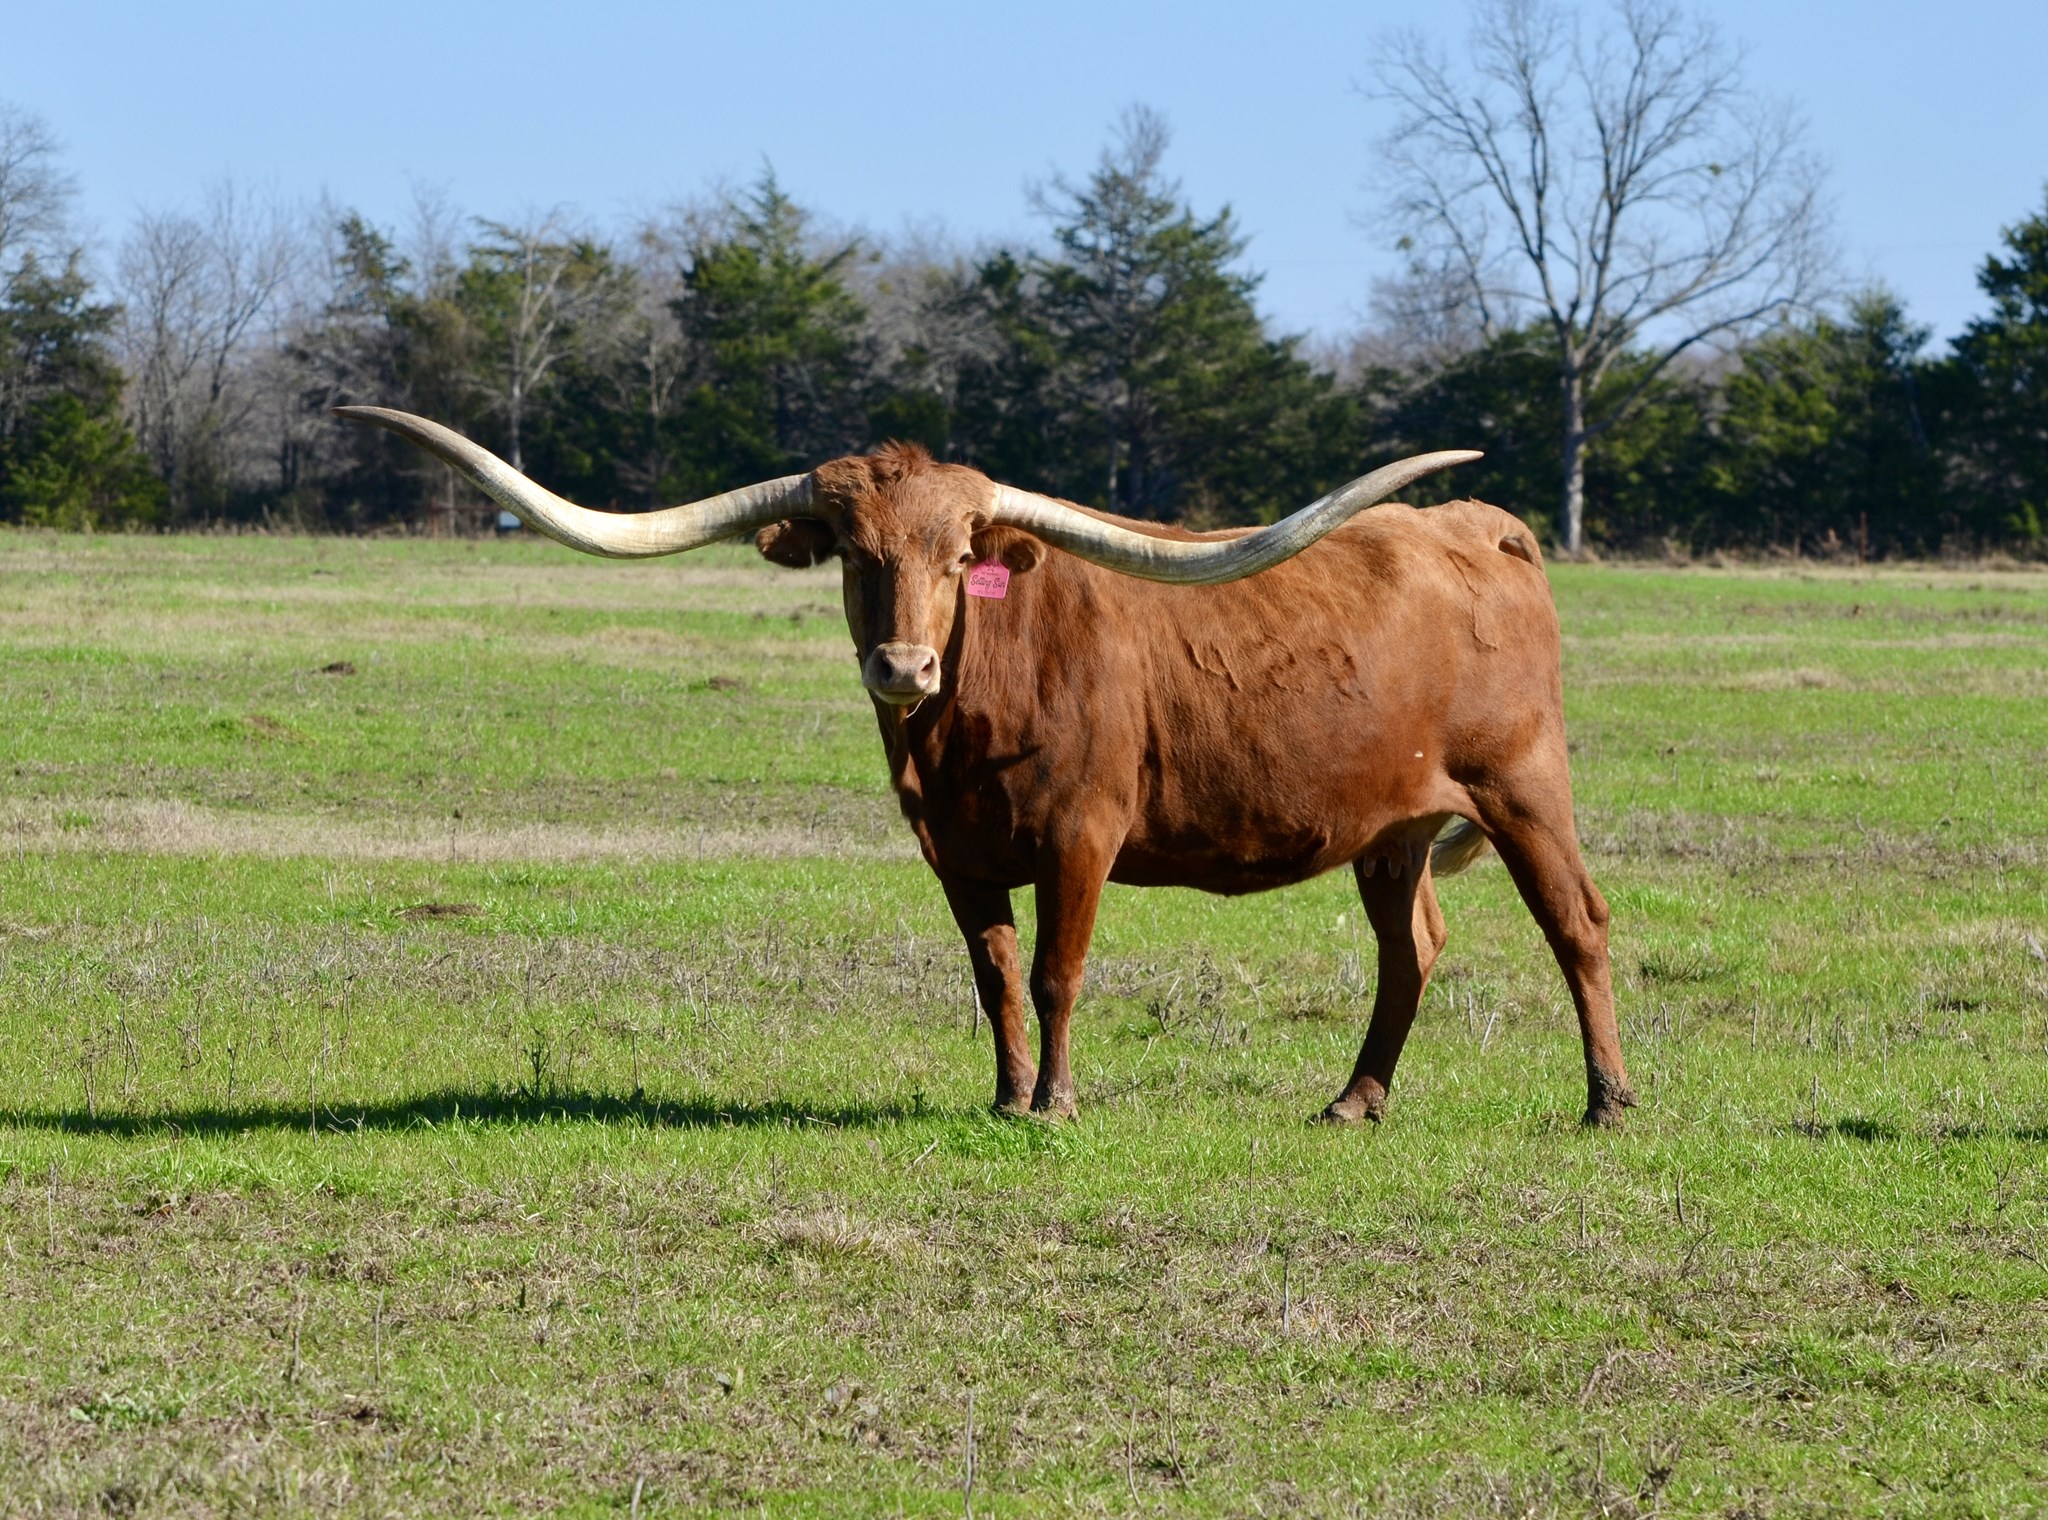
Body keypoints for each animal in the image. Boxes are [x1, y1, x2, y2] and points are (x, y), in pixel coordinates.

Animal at [336, 406, 1636, 1127]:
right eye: (850, 550)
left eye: (962, 554)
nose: (903, 665)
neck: (962, 725)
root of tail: (1478, 525)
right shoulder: (955, 851)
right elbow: (994, 973)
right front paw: (1008, 1092)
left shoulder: (1081, 835)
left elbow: (1058, 971)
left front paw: (1054, 1102)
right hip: (1392, 825)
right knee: (1410, 947)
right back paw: (1354, 1100)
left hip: (1521, 785)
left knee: (1576, 924)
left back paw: (1606, 1099)